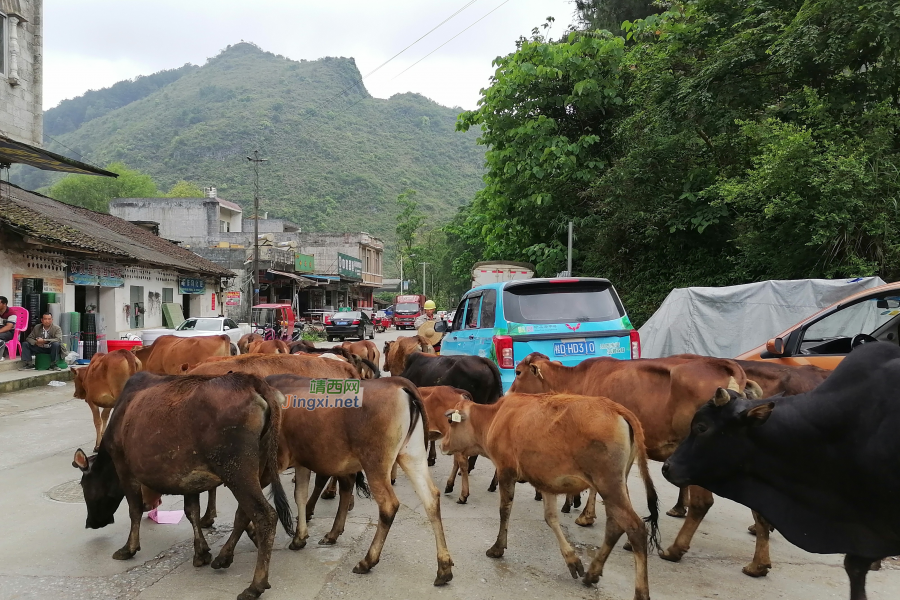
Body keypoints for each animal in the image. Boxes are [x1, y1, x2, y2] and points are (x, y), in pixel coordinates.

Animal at [72, 370, 296, 600]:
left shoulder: (124, 467)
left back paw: (255, 585)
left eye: (83, 486)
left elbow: (134, 509)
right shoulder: (188, 477)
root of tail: (251, 380)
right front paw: (202, 552)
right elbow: (192, 512)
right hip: (256, 468)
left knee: (264, 515)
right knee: (243, 513)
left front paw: (129, 548)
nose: (90, 523)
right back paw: (224, 557)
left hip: (236, 470)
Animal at [264, 376, 454, 584]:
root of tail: (397, 383)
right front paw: (300, 537)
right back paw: (444, 568)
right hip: (412, 456)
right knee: (431, 498)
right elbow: (300, 494)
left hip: (375, 463)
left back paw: (367, 561)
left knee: (388, 505)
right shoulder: (302, 461)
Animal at [510, 356, 764, 572]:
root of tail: (727, 366)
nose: (509, 394)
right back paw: (758, 564)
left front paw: (586, 516)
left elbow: (597, 487)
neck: (575, 379)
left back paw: (674, 550)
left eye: (518, 371)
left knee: (702, 503)